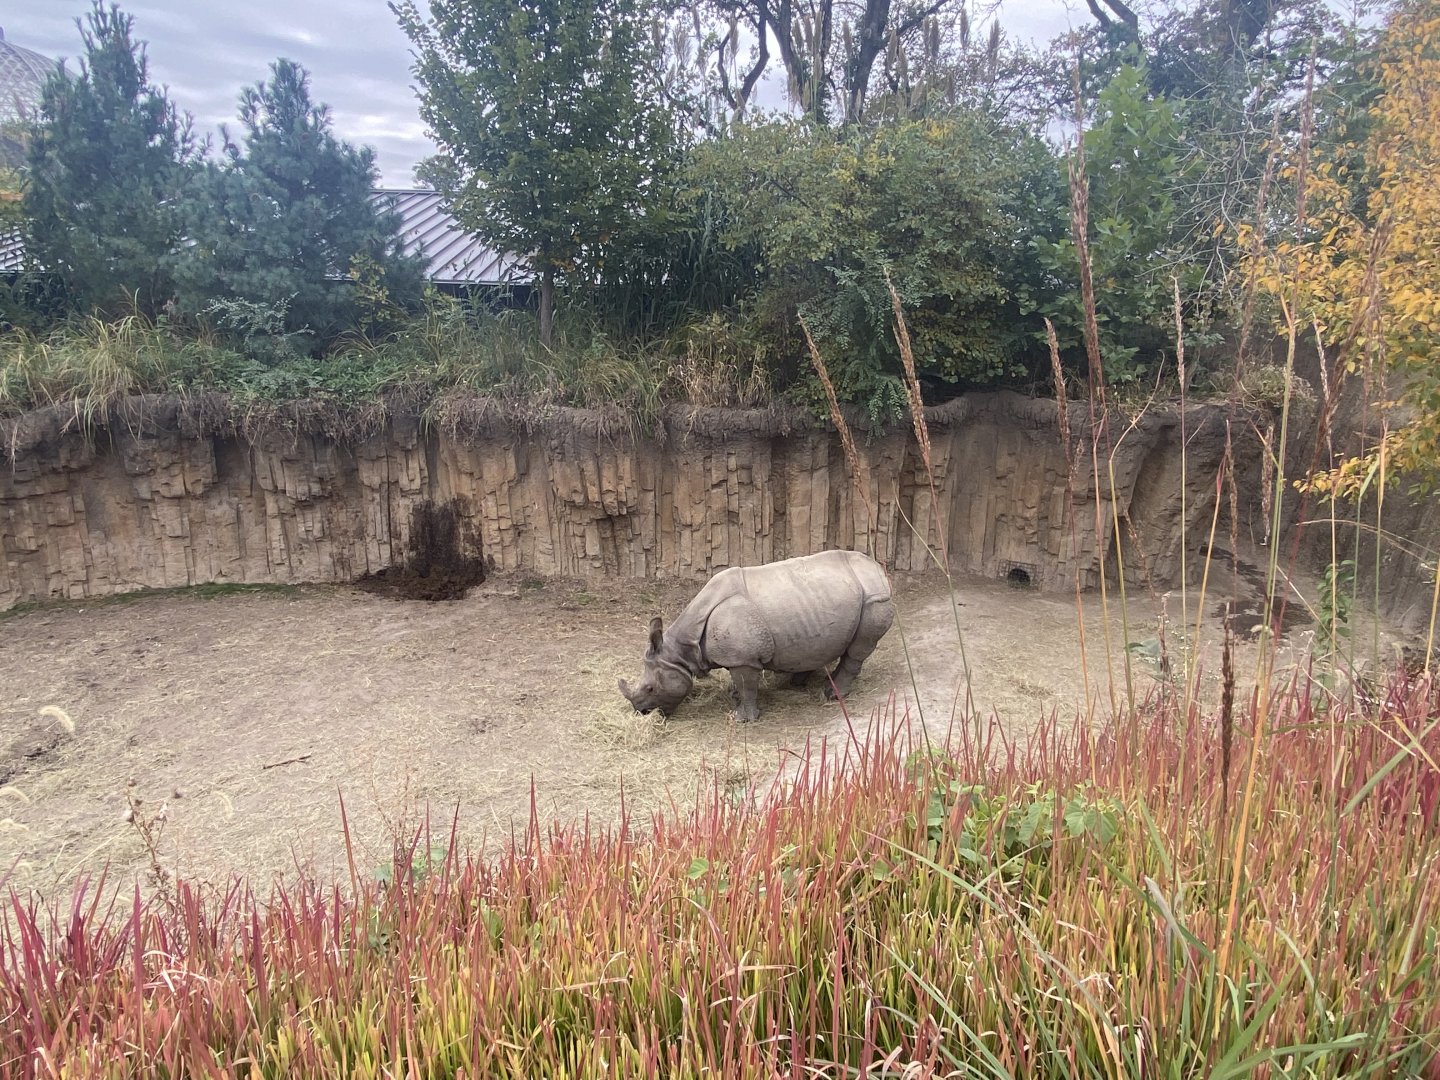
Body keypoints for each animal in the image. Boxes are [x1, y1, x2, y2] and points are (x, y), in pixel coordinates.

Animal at [618, 549, 895, 723]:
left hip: (874, 600)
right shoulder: (738, 657)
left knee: (858, 649)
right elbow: (741, 684)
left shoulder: (743, 659)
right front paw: (734, 697)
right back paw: (799, 683)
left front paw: (742, 718)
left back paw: (831, 695)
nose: (641, 711)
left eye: (651, 688)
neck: (683, 649)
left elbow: (747, 685)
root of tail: (878, 570)